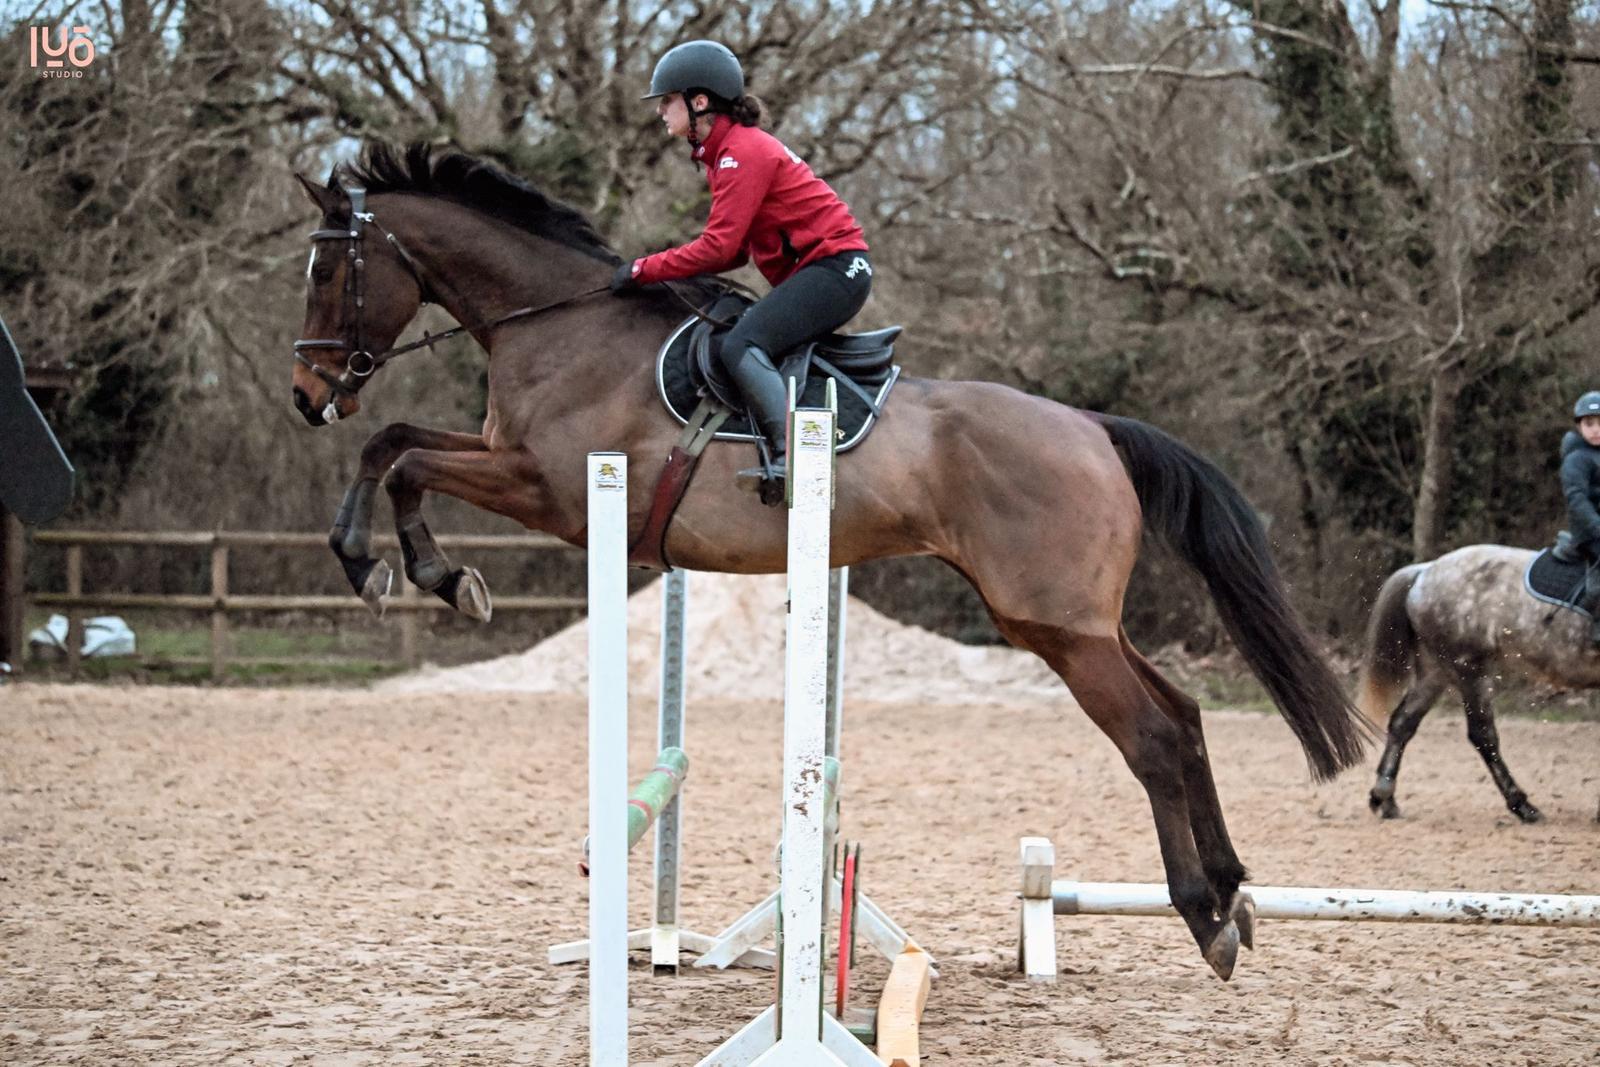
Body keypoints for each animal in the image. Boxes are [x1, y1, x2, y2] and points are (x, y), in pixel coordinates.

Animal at [288, 142, 1371, 980]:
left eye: (327, 273)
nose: (305, 395)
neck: (559, 323)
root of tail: (1094, 428)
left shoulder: (547, 487)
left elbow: (396, 452)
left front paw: (404, 571)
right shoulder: (514, 467)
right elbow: (393, 443)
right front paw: (419, 571)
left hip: (1056, 626)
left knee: (1149, 735)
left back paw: (1201, 913)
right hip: (1071, 622)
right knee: (1183, 718)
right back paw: (1231, 895)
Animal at [1358, 543, 1600, 824]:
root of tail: (1425, 571)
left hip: (1436, 671)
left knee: (1403, 722)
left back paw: (1384, 797)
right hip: (1470, 670)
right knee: (1483, 735)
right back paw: (1522, 805)